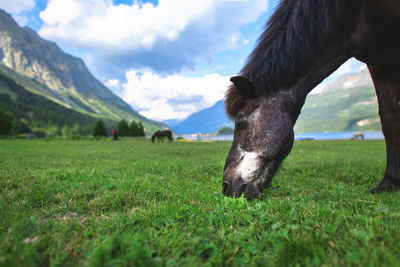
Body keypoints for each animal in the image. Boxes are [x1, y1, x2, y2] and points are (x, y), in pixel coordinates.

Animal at [222, 0, 400, 201]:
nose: (226, 186)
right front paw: (390, 182)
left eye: (241, 123)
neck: (357, 12)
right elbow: (390, 120)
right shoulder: (378, 65)